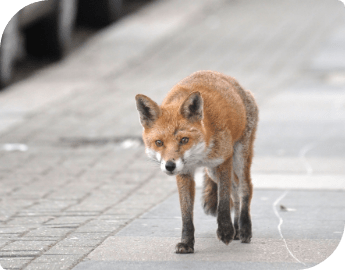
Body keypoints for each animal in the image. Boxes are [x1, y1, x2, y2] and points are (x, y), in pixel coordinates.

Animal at [134, 70, 258, 254]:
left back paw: (244, 229)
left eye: (184, 140)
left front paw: (225, 230)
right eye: (159, 143)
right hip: (213, 172)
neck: (199, 155)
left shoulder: (224, 160)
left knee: (244, 188)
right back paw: (236, 227)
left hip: (238, 157)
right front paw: (186, 243)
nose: (169, 166)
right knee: (235, 192)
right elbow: (186, 214)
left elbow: (222, 202)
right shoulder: (184, 173)